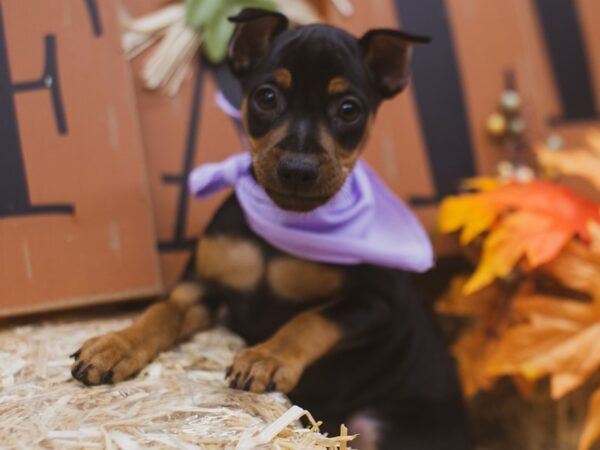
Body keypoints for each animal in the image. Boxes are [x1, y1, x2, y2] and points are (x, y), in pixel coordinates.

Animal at [71, 10, 474, 450]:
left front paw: (266, 357)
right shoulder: (203, 287)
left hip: (379, 425)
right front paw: (116, 344)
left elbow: (310, 320)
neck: (282, 225)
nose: (298, 169)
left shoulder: (376, 304)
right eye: (266, 98)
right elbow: (161, 311)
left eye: (349, 109)